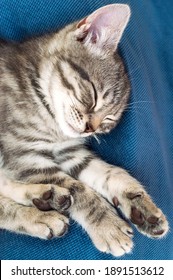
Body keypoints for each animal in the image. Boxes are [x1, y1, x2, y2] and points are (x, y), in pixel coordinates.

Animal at [0, 4, 168, 258]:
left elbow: (112, 173)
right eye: (94, 96)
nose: (91, 129)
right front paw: (107, 225)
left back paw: (45, 199)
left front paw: (140, 206)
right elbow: (78, 189)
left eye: (108, 120)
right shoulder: (24, 156)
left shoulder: (70, 153)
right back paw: (43, 214)